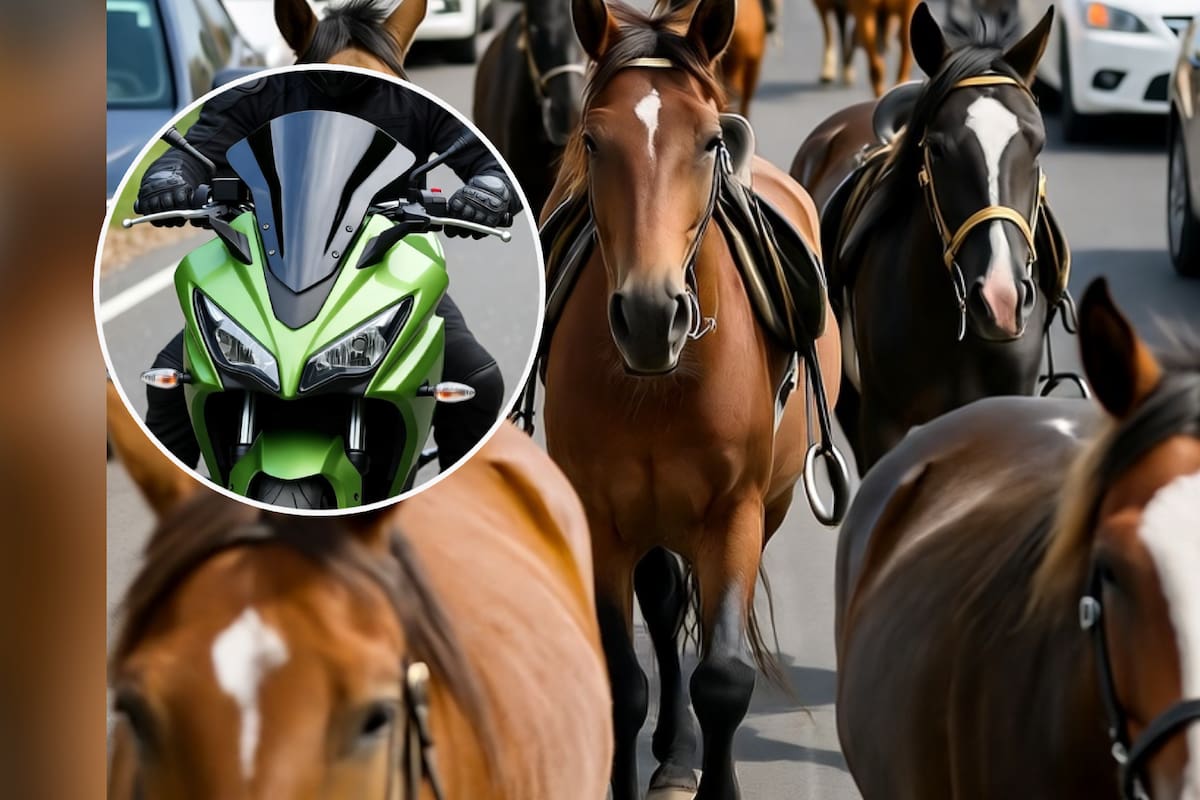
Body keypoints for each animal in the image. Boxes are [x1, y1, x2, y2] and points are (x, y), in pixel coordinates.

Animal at [540, 0, 842, 797]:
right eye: (592, 139)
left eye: (708, 142)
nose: (651, 314)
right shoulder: (604, 517)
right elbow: (623, 682)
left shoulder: (734, 512)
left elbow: (724, 678)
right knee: (668, 599)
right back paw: (674, 752)